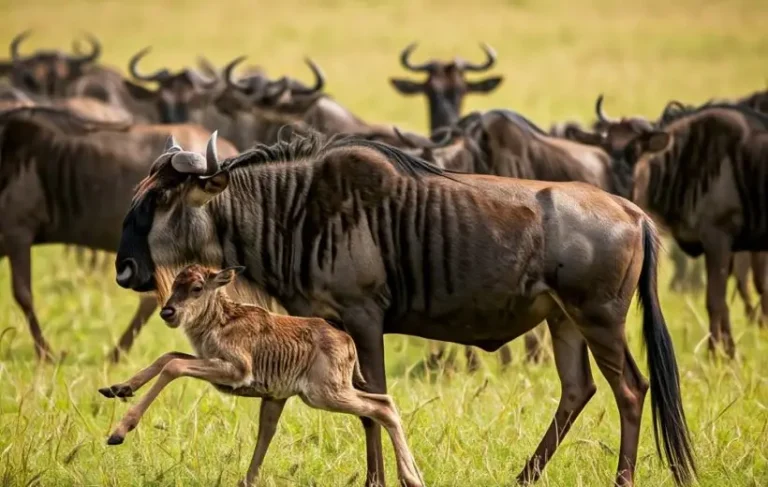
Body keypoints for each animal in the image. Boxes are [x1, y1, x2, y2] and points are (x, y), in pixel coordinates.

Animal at [114, 132, 696, 487]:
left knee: (630, 389)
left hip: (599, 319)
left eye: (161, 199)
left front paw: (377, 479)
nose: (124, 271)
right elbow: (320, 409)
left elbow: (372, 403)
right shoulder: (322, 326)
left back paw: (620, 479)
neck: (295, 210)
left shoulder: (362, 318)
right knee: (577, 390)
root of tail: (634, 212)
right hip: (562, 321)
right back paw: (524, 476)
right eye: (139, 190)